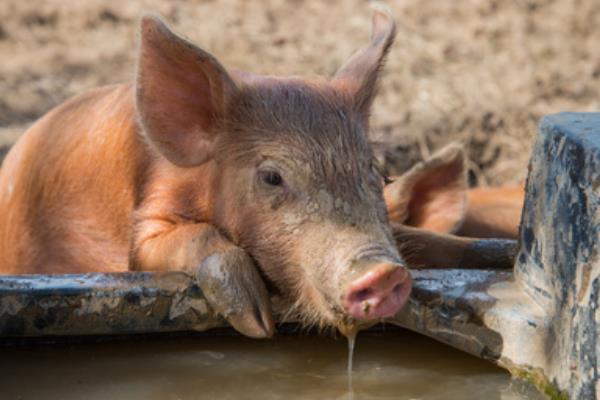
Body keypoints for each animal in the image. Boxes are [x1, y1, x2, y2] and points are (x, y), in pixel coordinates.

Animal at [0, 7, 516, 338]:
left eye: (376, 173)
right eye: (271, 177)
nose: (385, 273)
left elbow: (432, 241)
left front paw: (505, 253)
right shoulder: (143, 228)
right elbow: (180, 241)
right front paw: (257, 323)